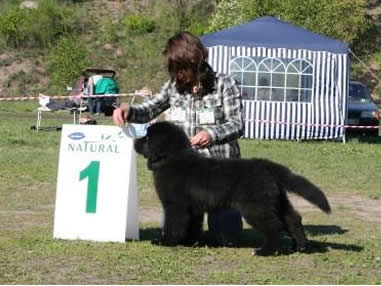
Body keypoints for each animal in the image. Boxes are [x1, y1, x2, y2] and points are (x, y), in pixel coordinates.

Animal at [134, 122, 330, 256]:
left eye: (147, 138)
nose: (135, 140)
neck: (171, 158)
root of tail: (268, 166)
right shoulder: (192, 208)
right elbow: (191, 225)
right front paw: (189, 241)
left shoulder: (176, 205)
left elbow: (173, 224)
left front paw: (165, 241)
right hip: (277, 201)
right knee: (293, 218)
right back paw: (301, 246)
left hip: (256, 207)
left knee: (274, 226)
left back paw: (265, 251)